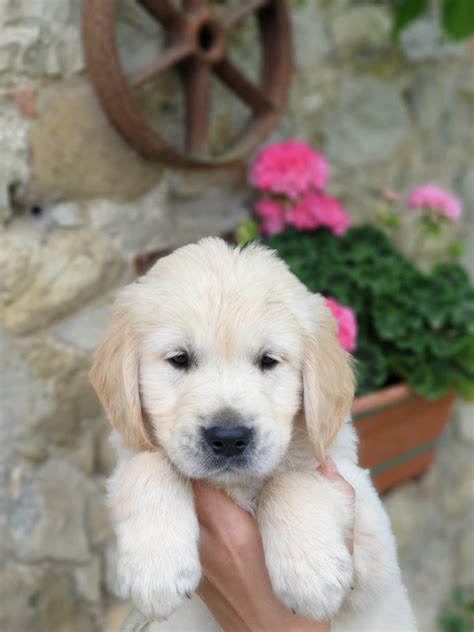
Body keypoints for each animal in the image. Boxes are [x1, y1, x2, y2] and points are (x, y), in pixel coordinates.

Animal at [89, 238, 414, 632]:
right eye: (179, 359)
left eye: (268, 360)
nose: (228, 437)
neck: (238, 485)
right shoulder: (130, 452)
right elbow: (148, 464)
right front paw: (156, 570)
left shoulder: (371, 538)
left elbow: (291, 479)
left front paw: (312, 575)